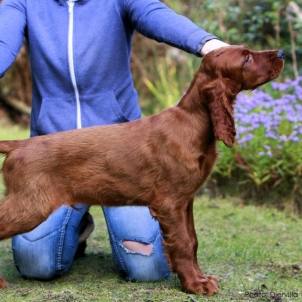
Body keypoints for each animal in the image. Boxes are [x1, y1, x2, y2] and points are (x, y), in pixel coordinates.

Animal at [0, 46, 284, 294]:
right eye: (247, 58)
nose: (281, 53)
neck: (193, 123)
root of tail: (19, 144)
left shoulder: (186, 200)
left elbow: (192, 240)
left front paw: (200, 278)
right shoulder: (170, 203)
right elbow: (182, 244)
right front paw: (194, 285)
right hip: (30, 204)